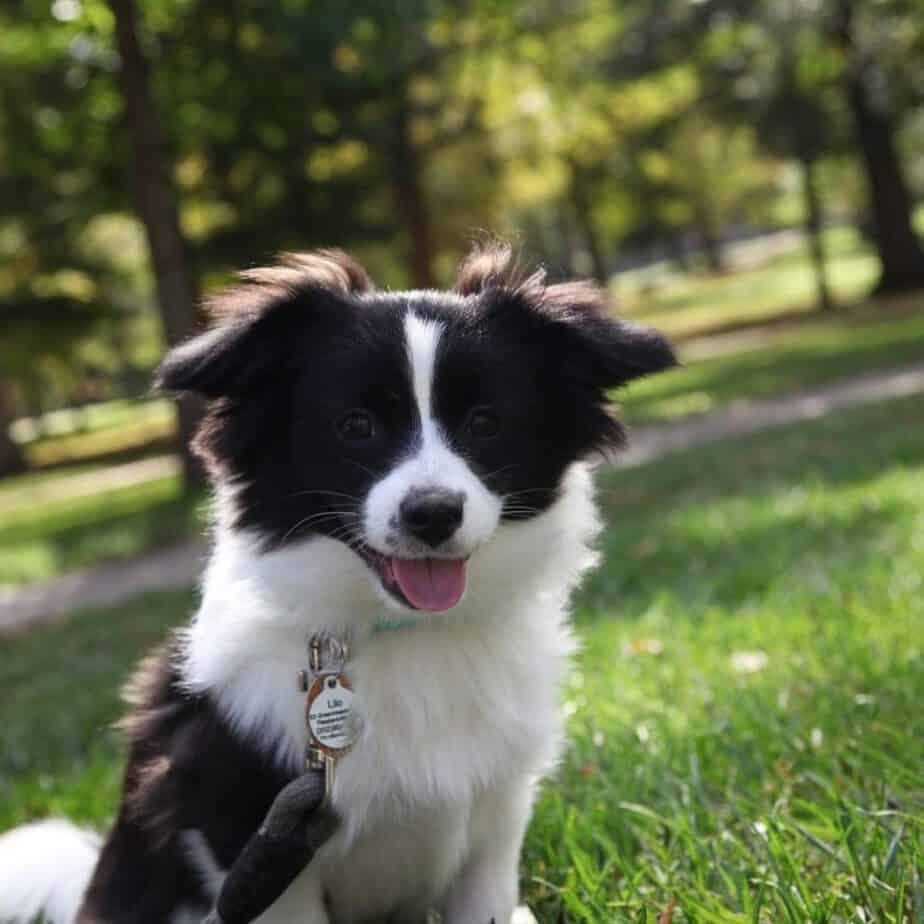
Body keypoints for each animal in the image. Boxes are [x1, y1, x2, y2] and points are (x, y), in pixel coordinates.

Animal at [1, 245, 680, 924]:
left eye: (486, 424)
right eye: (356, 426)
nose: (433, 513)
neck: (408, 632)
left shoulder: (494, 821)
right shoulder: (259, 840)